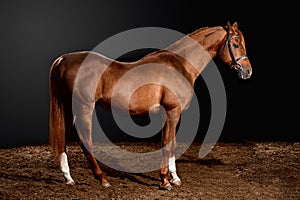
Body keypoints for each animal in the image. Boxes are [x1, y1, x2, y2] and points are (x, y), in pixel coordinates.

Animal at [48, 20, 251, 191]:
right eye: (236, 45)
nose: (247, 71)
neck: (181, 64)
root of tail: (63, 59)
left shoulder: (166, 114)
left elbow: (169, 143)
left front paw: (174, 178)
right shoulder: (173, 111)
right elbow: (168, 145)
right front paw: (165, 181)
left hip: (69, 109)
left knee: (64, 138)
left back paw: (68, 178)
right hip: (84, 107)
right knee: (84, 140)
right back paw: (102, 179)